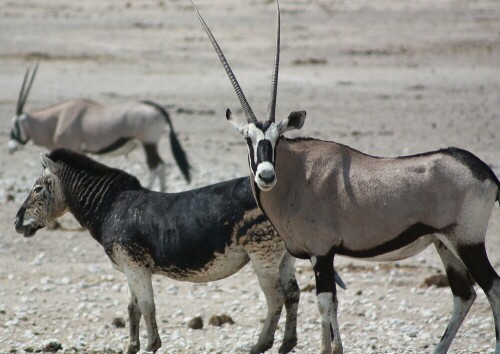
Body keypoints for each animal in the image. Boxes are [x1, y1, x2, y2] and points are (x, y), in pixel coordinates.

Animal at [8, 63, 191, 191]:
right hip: (150, 144)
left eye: (15, 125)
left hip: (148, 143)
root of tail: (157, 108)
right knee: (161, 166)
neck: (58, 118)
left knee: (156, 166)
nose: (10, 148)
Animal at [13, 149, 346, 354]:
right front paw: (131, 347)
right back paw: (286, 344)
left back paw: (259, 346)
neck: (110, 207)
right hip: (283, 256)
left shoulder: (134, 265)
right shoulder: (132, 268)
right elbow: (133, 308)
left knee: (275, 297)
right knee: (292, 294)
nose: (16, 223)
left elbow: (147, 306)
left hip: (262, 253)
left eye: (38, 189)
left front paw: (151, 346)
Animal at [191, 1, 500, 352]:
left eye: (278, 137)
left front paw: (332, 349)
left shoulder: (322, 251)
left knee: (493, 289)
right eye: (248, 139)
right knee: (465, 295)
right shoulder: (318, 255)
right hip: (445, 244)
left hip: (468, 241)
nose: (266, 175)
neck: (298, 175)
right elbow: (327, 305)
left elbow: (326, 302)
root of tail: (483, 171)